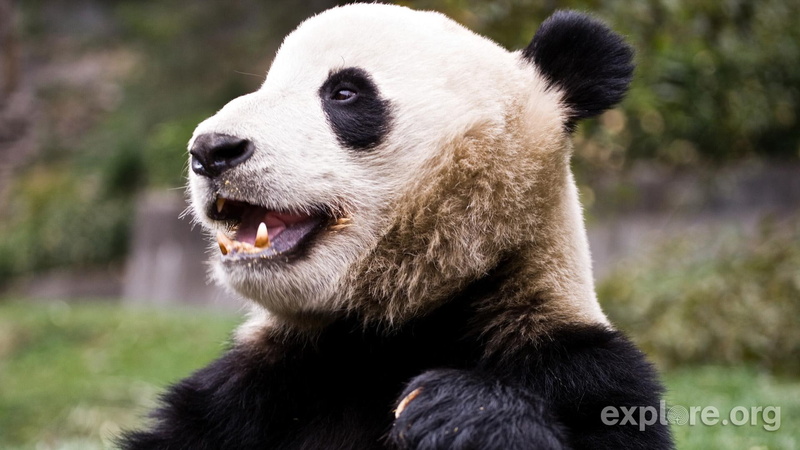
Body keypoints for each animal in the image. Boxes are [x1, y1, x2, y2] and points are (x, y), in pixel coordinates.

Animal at [121, 4, 672, 449]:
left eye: (344, 92)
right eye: (267, 85)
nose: (211, 150)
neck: (391, 326)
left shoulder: (574, 364)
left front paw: (461, 413)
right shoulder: (254, 389)